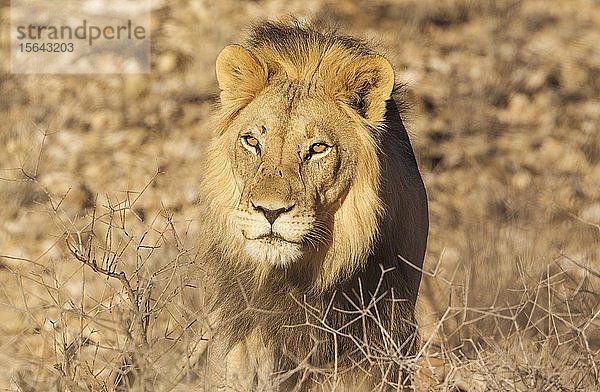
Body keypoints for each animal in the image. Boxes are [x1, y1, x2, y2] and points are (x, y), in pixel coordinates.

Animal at [196, 21, 426, 392]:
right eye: (252, 141)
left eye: (318, 148)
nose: (269, 211)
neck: (298, 277)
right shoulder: (241, 335)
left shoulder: (375, 343)